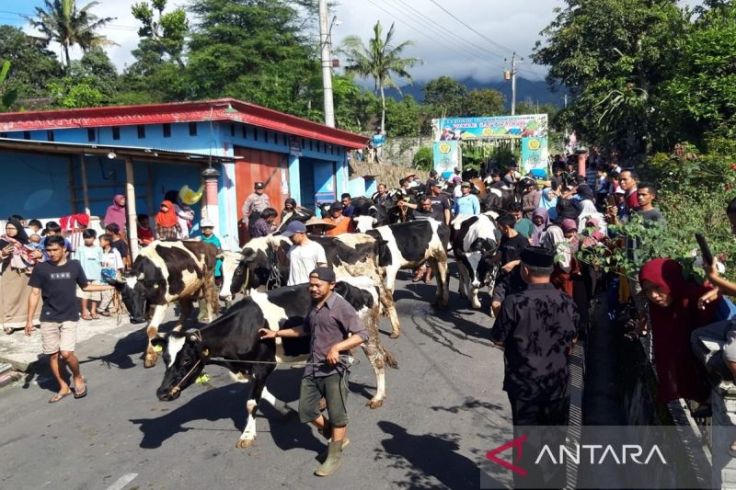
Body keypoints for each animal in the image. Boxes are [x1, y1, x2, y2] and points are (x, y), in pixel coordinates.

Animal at [150, 276, 400, 448]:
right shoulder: (251, 367)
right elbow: (263, 394)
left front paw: (247, 434)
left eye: (186, 360)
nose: (162, 393)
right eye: (165, 359)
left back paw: (378, 397)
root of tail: (366, 281)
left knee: (377, 360)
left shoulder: (263, 365)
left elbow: (252, 402)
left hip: (365, 331)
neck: (240, 328)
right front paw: (284, 408)